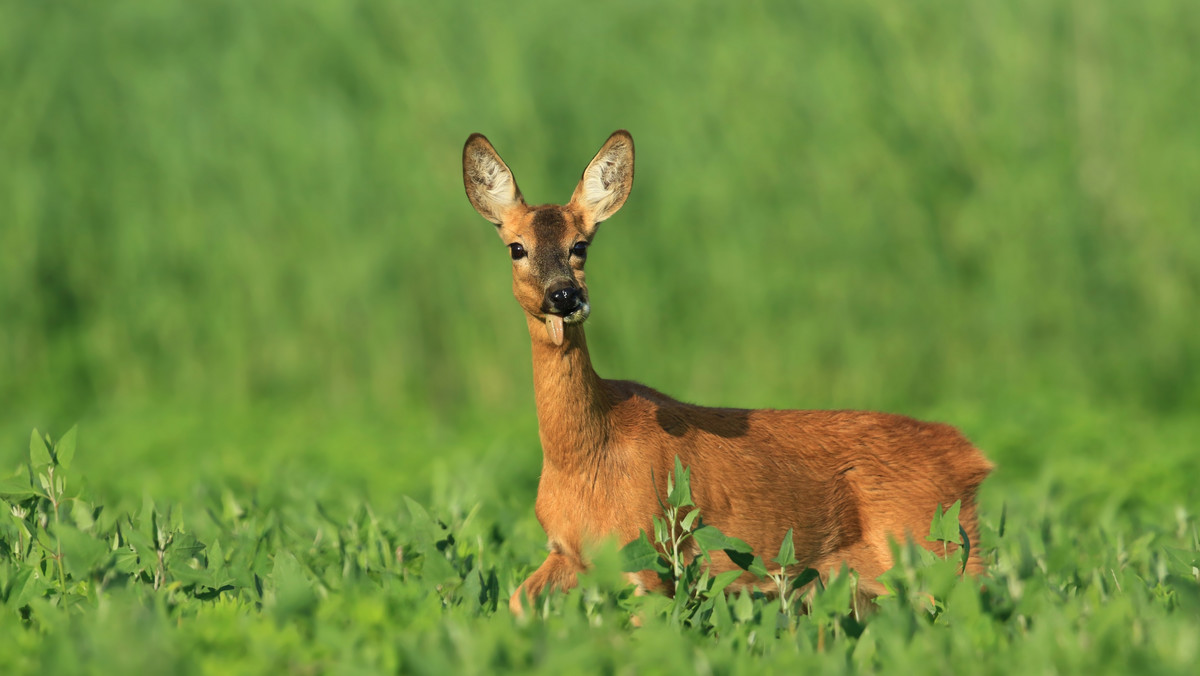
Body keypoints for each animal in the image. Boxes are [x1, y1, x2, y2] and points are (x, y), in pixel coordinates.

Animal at [458, 129, 993, 614]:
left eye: (581, 245)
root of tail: (972, 456)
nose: (565, 296)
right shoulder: (569, 552)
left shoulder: (653, 552)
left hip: (938, 552)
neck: (588, 457)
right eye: (516, 248)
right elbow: (517, 602)